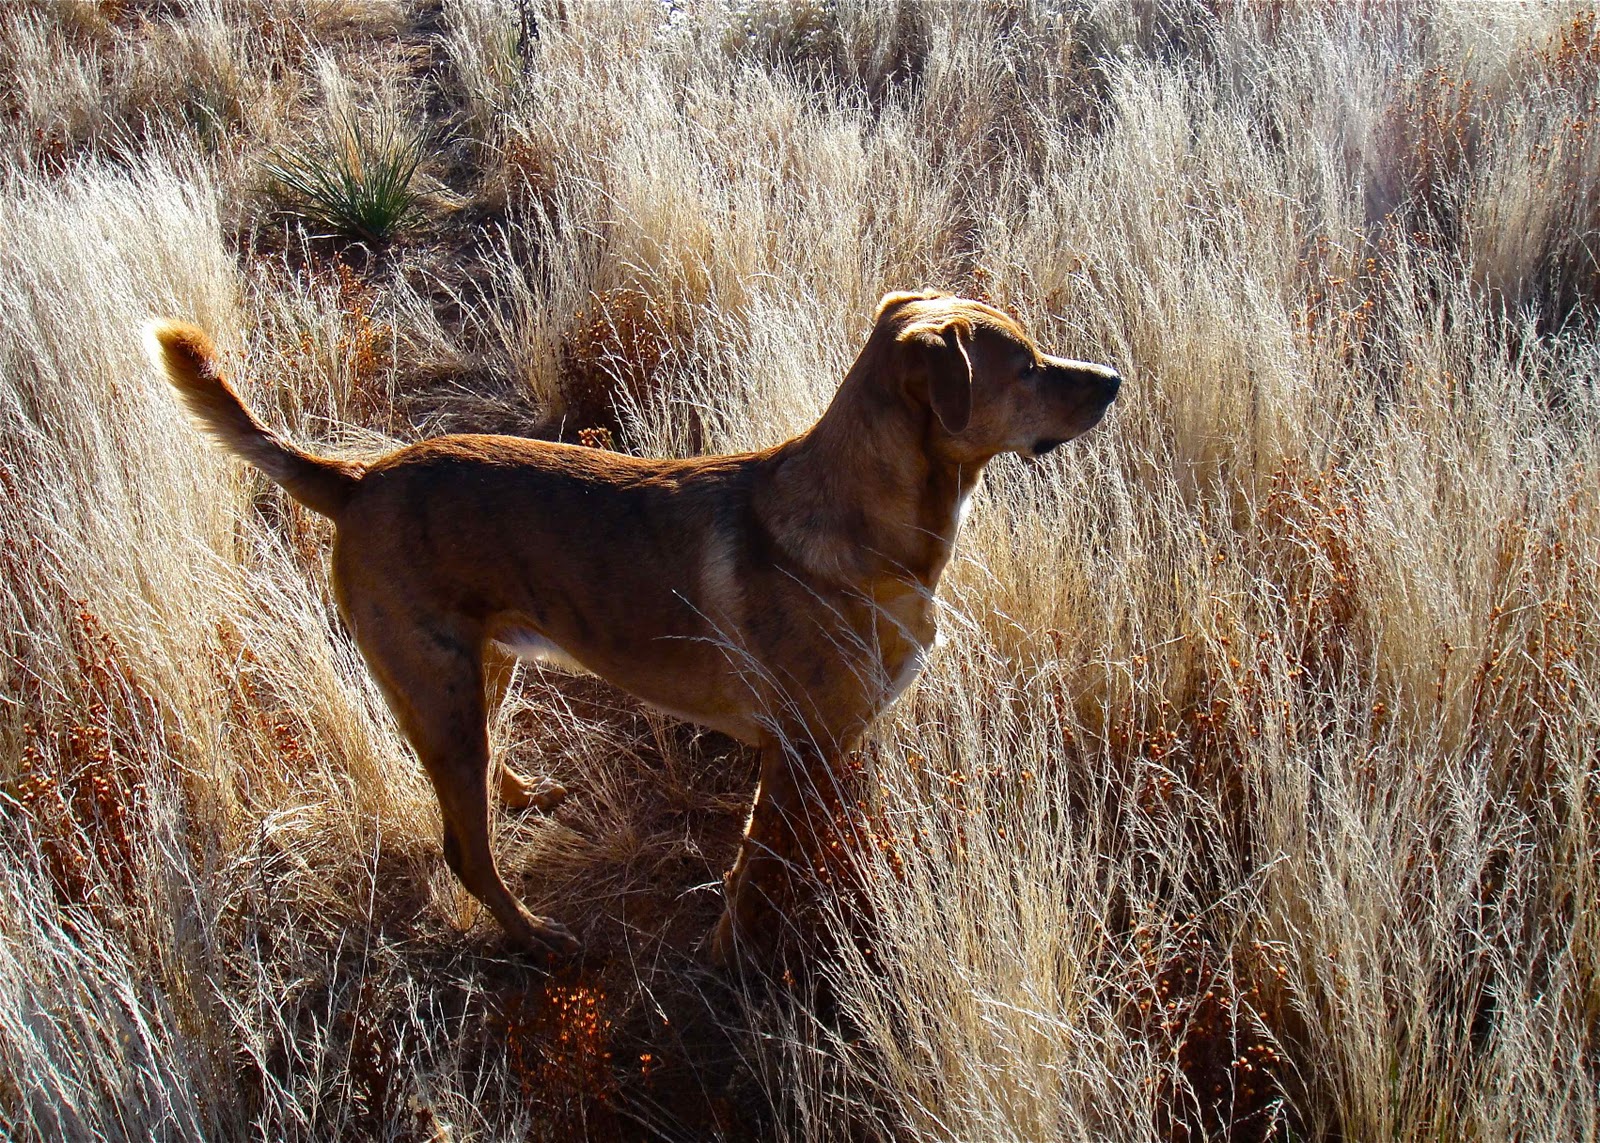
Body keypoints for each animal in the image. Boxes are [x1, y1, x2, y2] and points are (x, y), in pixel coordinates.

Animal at [145, 290, 1120, 965]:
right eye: (1027, 366)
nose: (1113, 379)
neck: (864, 525)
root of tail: (358, 479)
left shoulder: (834, 744)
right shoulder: (797, 748)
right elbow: (758, 866)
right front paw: (734, 950)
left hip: (480, 668)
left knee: (482, 775)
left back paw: (520, 792)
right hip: (438, 684)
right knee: (467, 851)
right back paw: (536, 936)